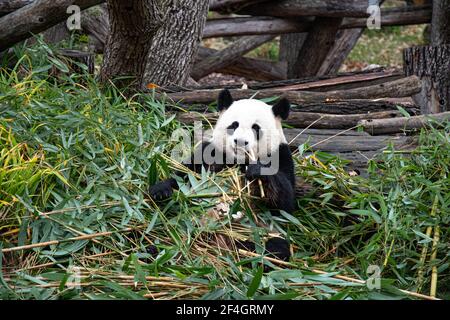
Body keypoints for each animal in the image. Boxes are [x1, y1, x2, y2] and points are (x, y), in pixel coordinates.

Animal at [149, 89, 296, 262]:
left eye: (256, 128)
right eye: (234, 125)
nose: (240, 142)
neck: (238, 162)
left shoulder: (281, 155)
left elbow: (284, 205)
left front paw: (257, 171)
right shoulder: (210, 153)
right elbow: (183, 176)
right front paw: (160, 191)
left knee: (275, 247)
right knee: (162, 231)